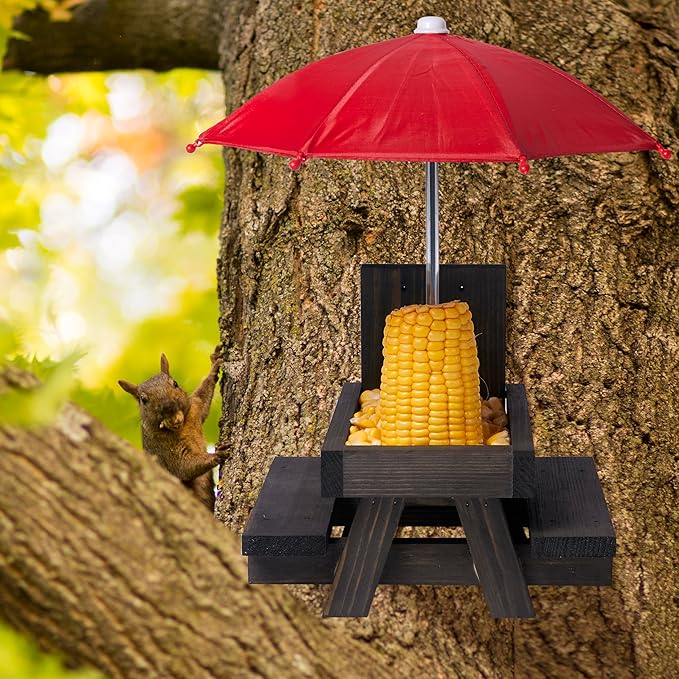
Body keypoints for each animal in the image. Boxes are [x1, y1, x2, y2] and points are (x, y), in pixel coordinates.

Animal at [118, 349, 225, 511]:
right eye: (143, 400)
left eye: (175, 383)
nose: (168, 406)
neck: (182, 425)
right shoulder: (163, 449)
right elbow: (183, 466)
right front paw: (217, 454)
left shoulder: (195, 408)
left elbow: (203, 394)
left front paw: (214, 366)